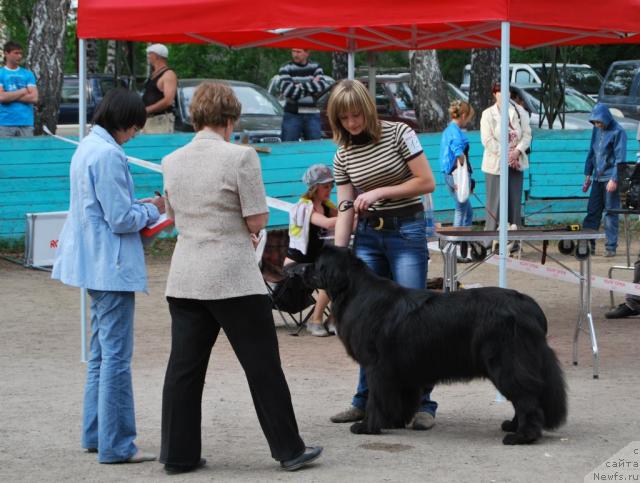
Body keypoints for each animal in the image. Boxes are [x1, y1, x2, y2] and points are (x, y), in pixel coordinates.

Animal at [304, 248, 564, 444]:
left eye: (317, 263)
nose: (300, 267)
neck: (354, 291)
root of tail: (531, 307)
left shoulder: (376, 366)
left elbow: (375, 399)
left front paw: (368, 426)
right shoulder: (401, 370)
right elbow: (401, 399)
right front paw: (394, 421)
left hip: (506, 363)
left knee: (527, 399)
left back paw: (523, 436)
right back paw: (513, 426)